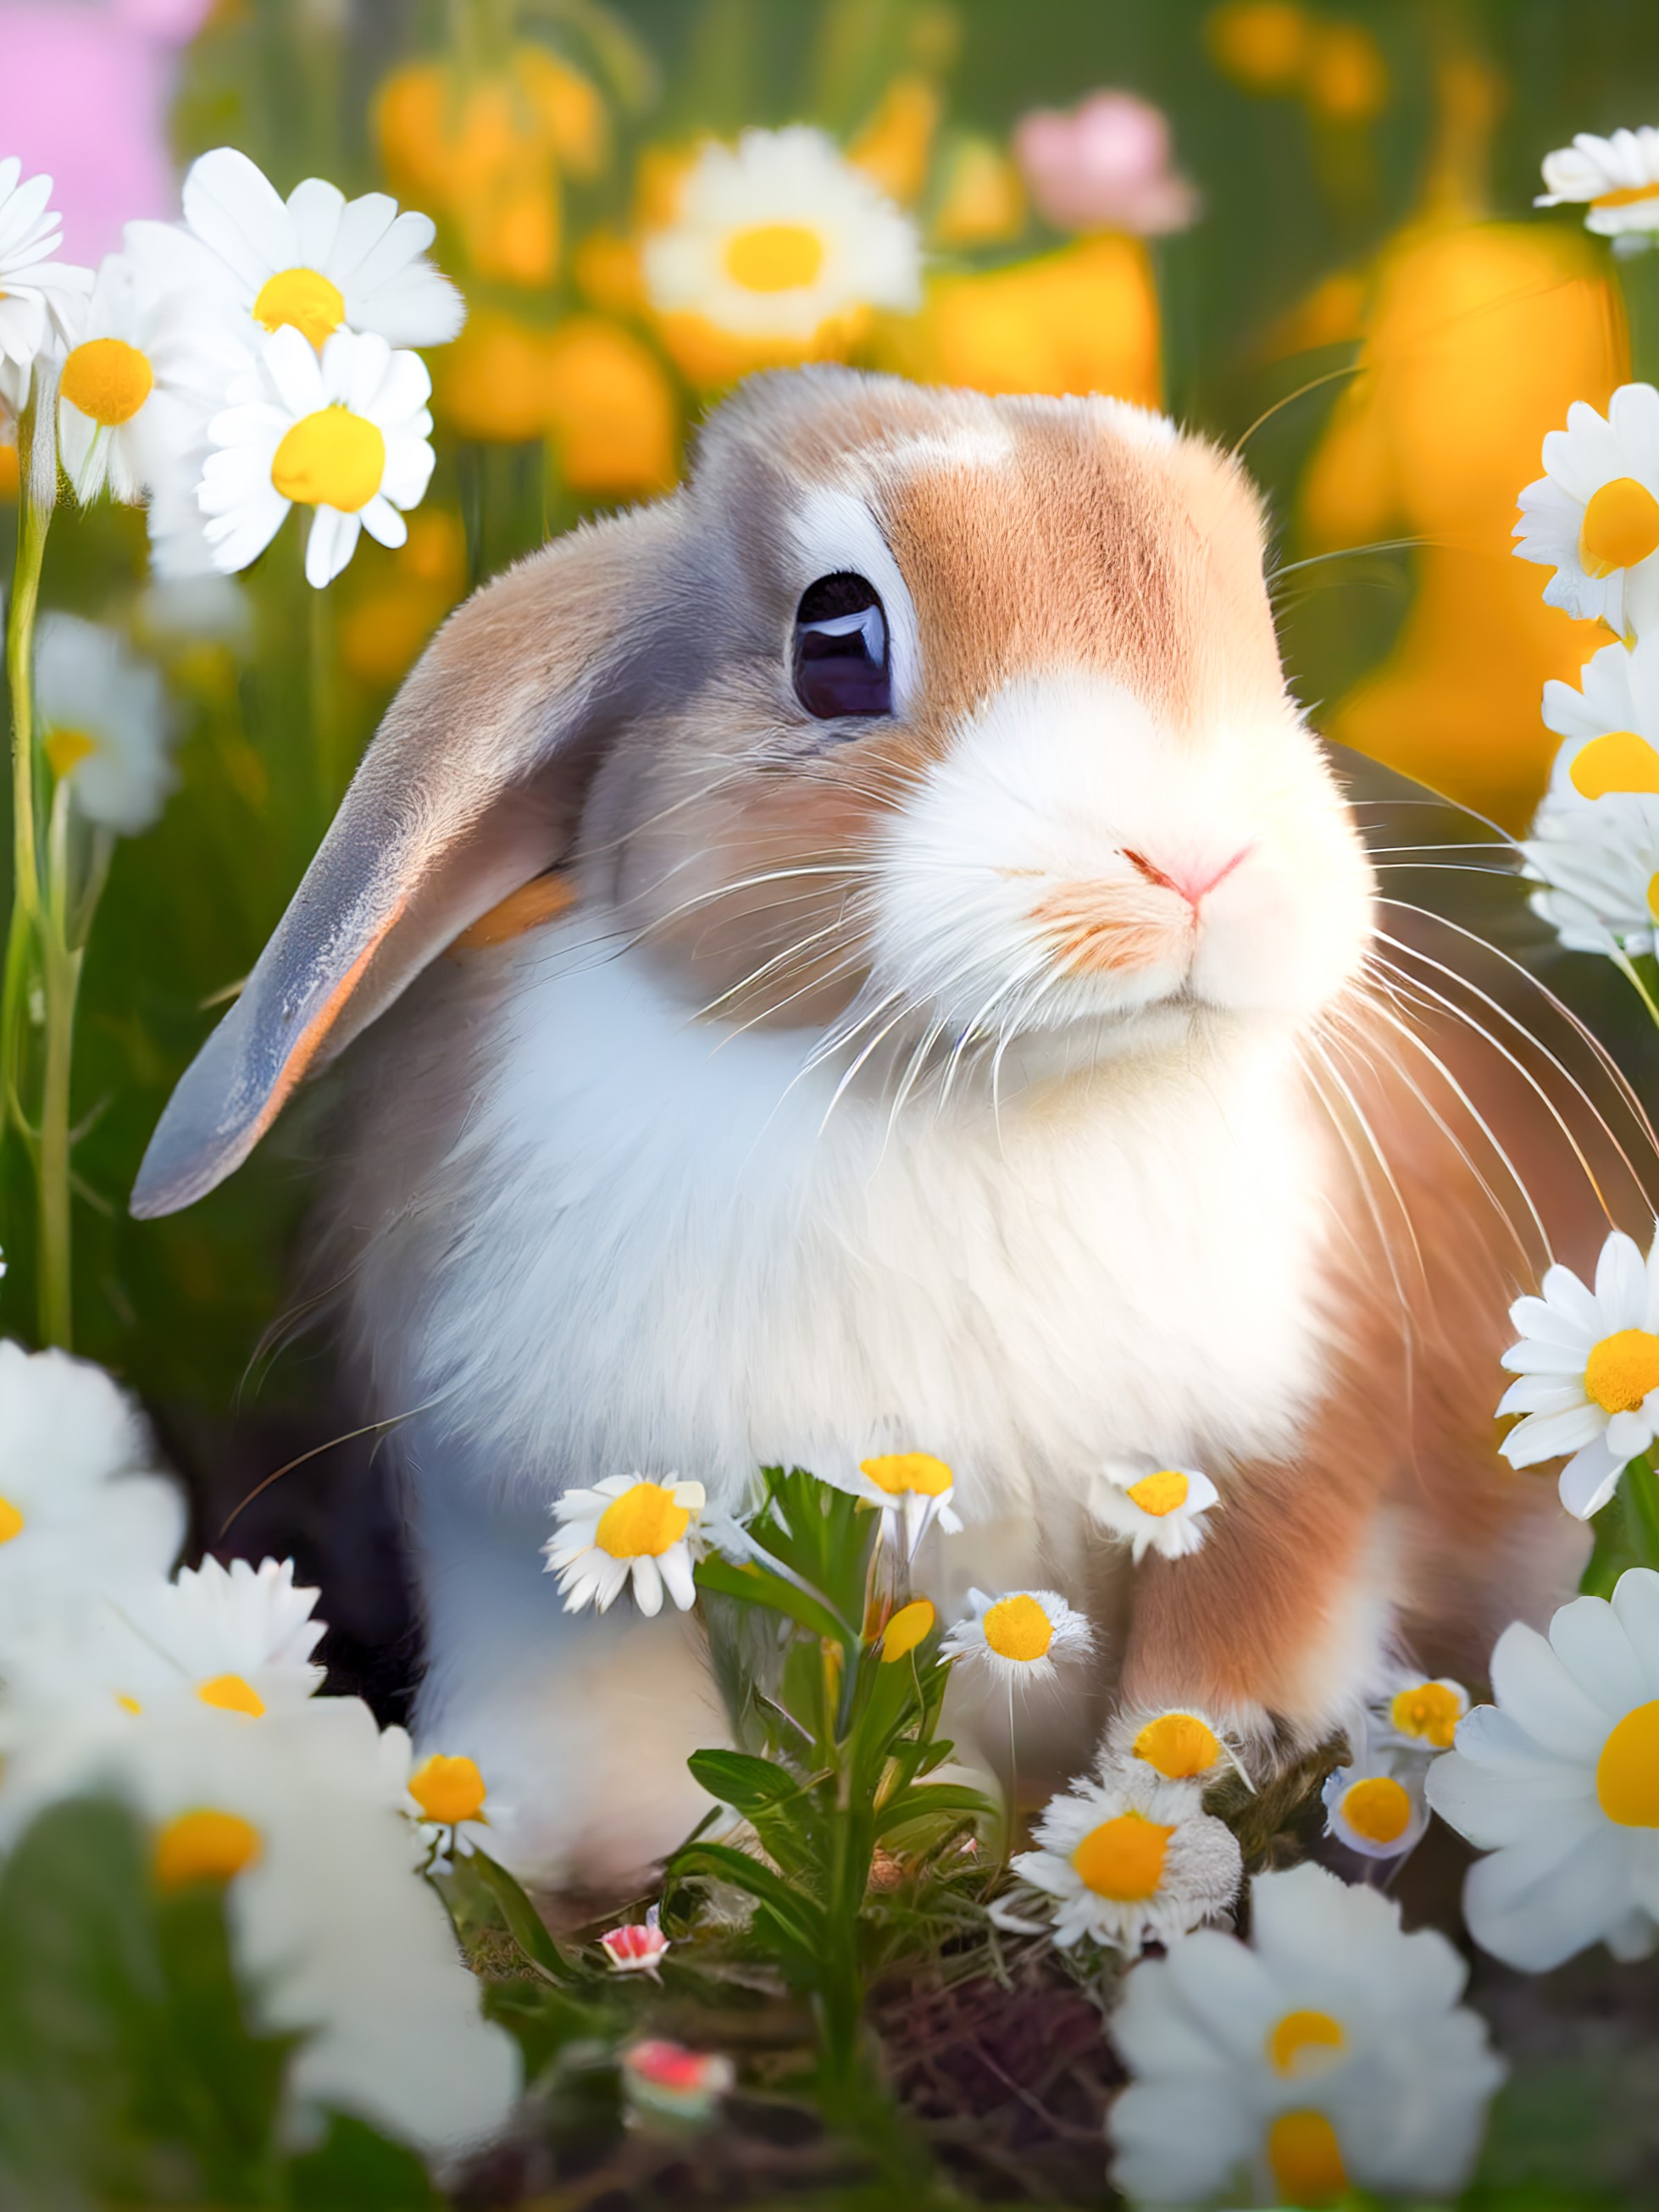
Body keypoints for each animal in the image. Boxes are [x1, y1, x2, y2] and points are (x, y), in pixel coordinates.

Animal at [132, 366, 1635, 1885]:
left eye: (1251, 627)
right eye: (837, 638)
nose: (1199, 859)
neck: (972, 1085)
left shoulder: (1308, 1444)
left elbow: (1228, 1659)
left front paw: (1157, 1824)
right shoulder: (518, 1500)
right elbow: (599, 1704)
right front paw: (664, 1859)